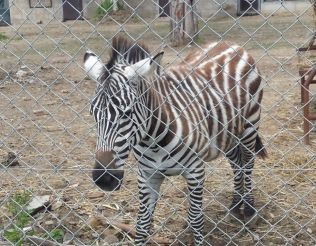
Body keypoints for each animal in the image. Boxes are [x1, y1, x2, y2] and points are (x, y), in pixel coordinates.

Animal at [84, 35, 266, 245]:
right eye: (93, 114)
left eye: (127, 113)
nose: (104, 180)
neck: (154, 142)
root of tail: (230, 43)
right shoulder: (147, 175)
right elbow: (142, 223)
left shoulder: (196, 171)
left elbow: (196, 218)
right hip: (228, 132)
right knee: (237, 165)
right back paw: (235, 207)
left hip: (250, 124)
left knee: (248, 163)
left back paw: (249, 210)